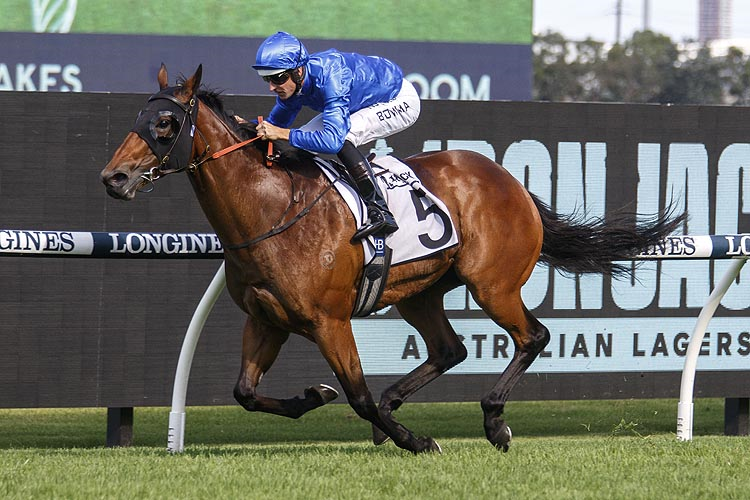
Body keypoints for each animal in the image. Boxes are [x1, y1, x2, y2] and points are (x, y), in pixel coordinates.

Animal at [100, 64, 685, 454]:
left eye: (165, 124)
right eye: (137, 116)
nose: (114, 177)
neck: (272, 208)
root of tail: (509, 180)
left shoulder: (329, 321)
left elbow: (355, 394)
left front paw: (415, 440)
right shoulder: (267, 319)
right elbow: (245, 392)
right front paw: (314, 395)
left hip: (492, 285)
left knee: (532, 337)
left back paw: (493, 422)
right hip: (420, 293)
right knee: (450, 349)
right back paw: (397, 406)